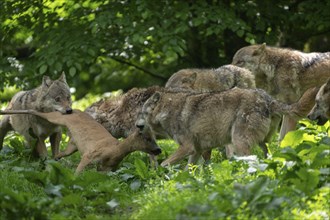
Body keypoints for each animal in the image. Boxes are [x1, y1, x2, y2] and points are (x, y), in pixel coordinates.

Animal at [0, 109, 161, 174]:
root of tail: (73, 109)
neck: (114, 153)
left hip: (72, 145)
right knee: (35, 111)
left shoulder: (105, 169)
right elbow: (77, 174)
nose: (159, 150)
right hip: (57, 117)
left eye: (155, 137)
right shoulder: (88, 155)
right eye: (147, 138)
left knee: (58, 154)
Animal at [135, 87, 318, 166]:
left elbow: (165, 163)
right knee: (268, 157)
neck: (167, 111)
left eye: (142, 113)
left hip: (239, 142)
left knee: (252, 160)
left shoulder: (187, 147)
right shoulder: (196, 150)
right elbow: (189, 168)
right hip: (261, 143)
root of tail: (267, 98)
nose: (136, 126)